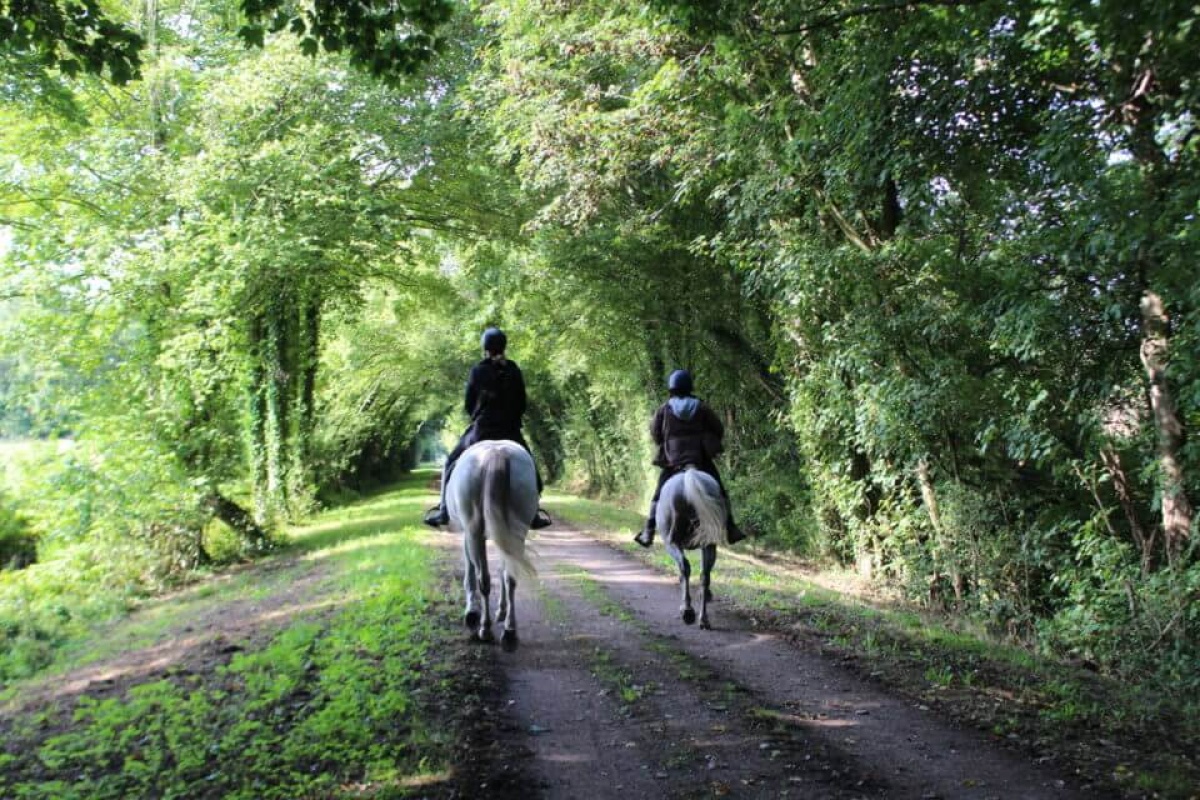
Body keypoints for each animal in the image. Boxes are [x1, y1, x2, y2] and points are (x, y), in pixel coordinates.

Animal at [446, 438, 540, 652]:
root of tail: (495, 453)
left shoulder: (467, 534)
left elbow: (471, 571)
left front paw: (471, 612)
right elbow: (503, 570)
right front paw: (502, 611)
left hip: (474, 533)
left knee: (484, 580)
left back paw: (485, 629)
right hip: (516, 531)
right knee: (510, 577)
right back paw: (510, 632)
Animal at [662, 470, 724, 633]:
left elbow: (682, 571)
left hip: (673, 543)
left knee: (685, 567)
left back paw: (688, 611)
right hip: (709, 544)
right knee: (705, 576)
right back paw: (703, 619)